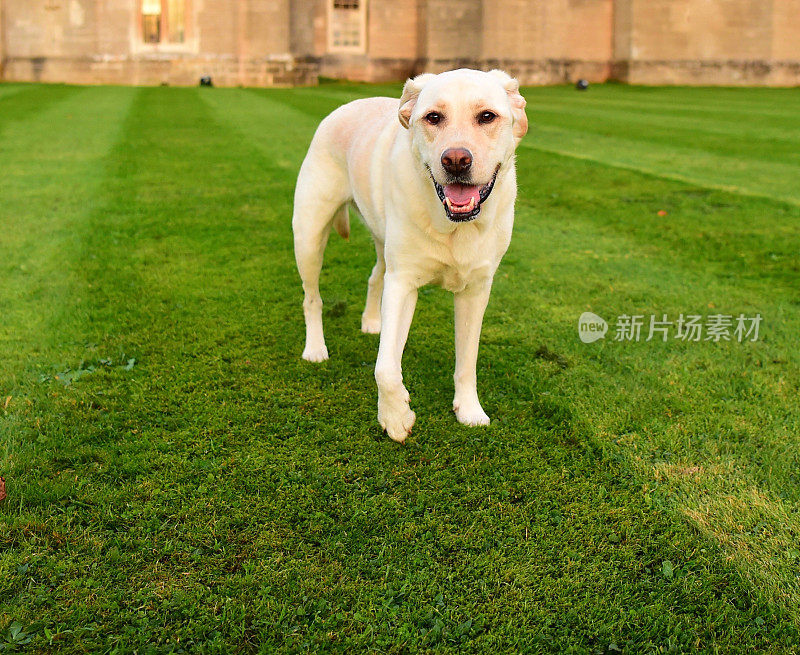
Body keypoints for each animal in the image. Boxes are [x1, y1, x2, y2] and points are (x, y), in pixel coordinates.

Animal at [290, 69, 528, 440]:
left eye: (487, 116)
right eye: (433, 117)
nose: (455, 160)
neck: (452, 226)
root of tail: (346, 106)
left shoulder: (476, 290)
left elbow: (467, 358)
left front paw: (469, 409)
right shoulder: (402, 283)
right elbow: (385, 367)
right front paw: (395, 416)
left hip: (380, 239)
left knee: (375, 276)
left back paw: (372, 321)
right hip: (309, 236)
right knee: (312, 298)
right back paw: (315, 348)